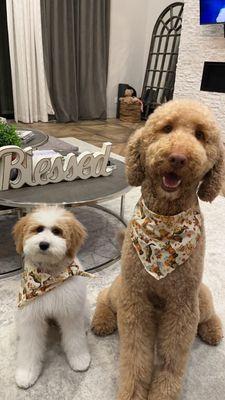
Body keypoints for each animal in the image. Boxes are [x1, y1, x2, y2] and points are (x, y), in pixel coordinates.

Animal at [12, 206, 90, 388]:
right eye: (39, 229)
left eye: (57, 231)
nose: (44, 244)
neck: (48, 279)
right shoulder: (31, 317)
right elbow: (29, 347)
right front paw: (26, 373)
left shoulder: (70, 312)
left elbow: (75, 339)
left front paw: (80, 359)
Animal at [91, 99, 223, 400]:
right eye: (166, 128)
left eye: (200, 135)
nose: (178, 157)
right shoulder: (134, 299)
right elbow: (135, 355)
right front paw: (132, 392)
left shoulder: (183, 305)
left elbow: (172, 358)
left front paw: (163, 392)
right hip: (120, 288)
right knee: (104, 295)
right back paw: (102, 320)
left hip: (201, 297)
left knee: (210, 314)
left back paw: (212, 331)